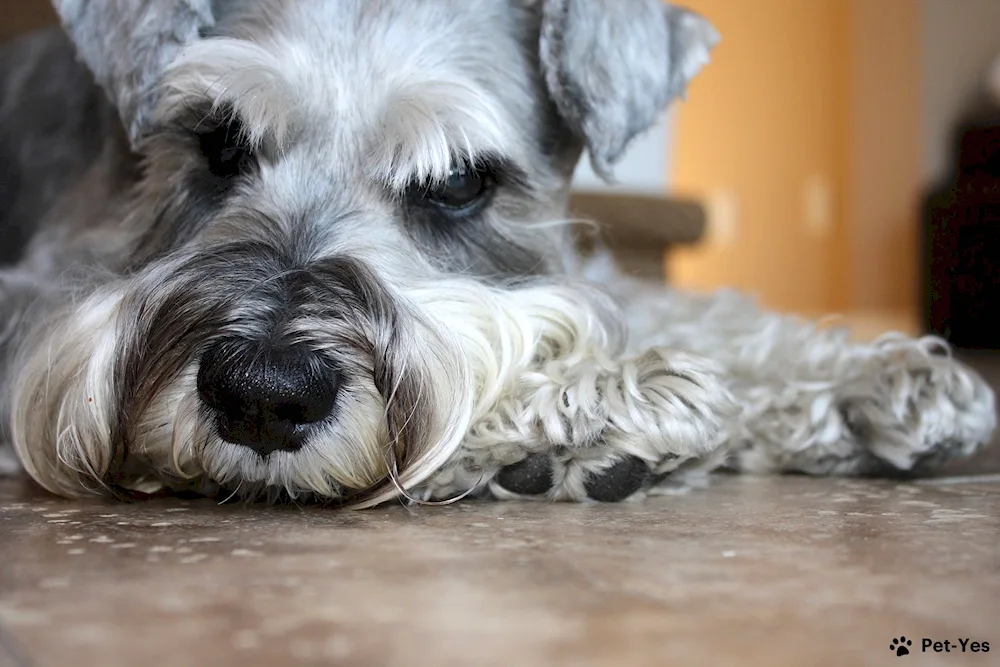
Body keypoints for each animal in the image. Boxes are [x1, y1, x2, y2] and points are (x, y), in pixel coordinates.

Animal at [0, 0, 996, 508]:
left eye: (457, 181)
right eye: (216, 141)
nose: (262, 394)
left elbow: (682, 308)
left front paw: (873, 383)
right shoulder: (31, 296)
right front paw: (596, 404)